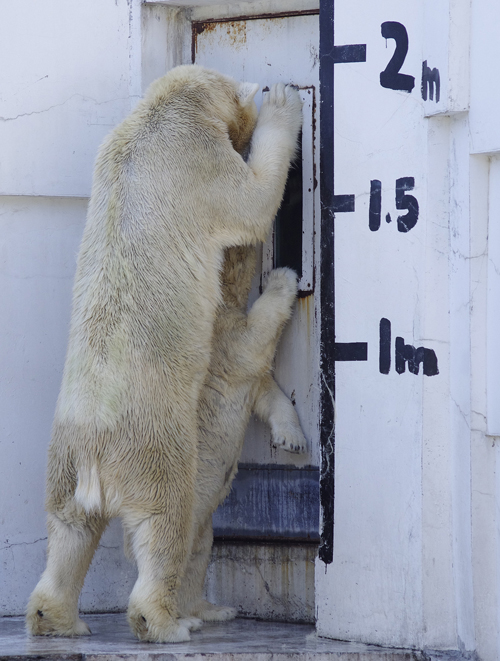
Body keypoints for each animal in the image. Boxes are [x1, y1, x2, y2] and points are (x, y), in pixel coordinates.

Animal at [176, 245, 308, 620]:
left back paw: (211, 609)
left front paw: (292, 440)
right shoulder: (222, 341)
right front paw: (284, 276)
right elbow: (253, 338)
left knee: (200, 549)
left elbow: (270, 394)